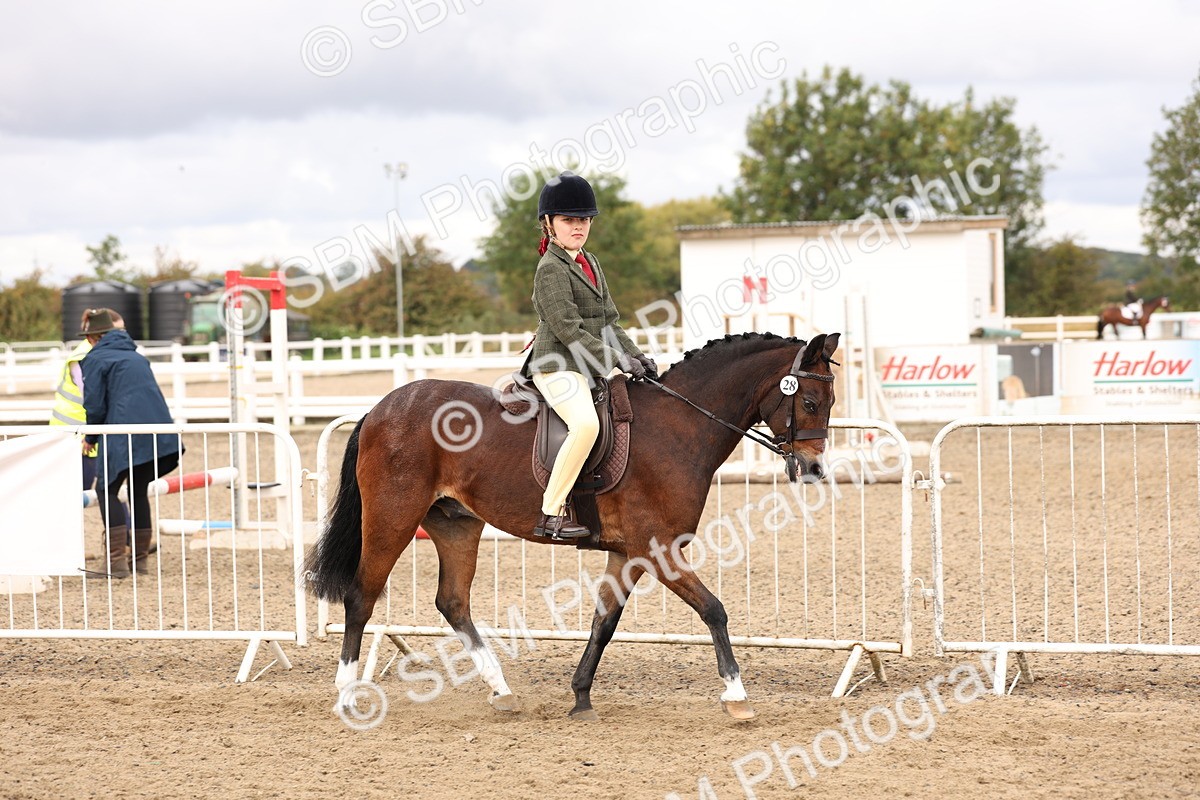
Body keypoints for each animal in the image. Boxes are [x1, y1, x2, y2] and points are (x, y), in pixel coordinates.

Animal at [304, 331, 840, 721]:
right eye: (811, 403)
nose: (814, 469)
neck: (678, 427)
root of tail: (381, 408)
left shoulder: (627, 554)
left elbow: (604, 623)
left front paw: (580, 697)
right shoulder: (659, 550)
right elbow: (714, 610)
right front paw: (736, 696)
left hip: (456, 525)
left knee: (453, 602)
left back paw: (502, 690)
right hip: (393, 518)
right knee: (361, 596)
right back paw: (346, 694)